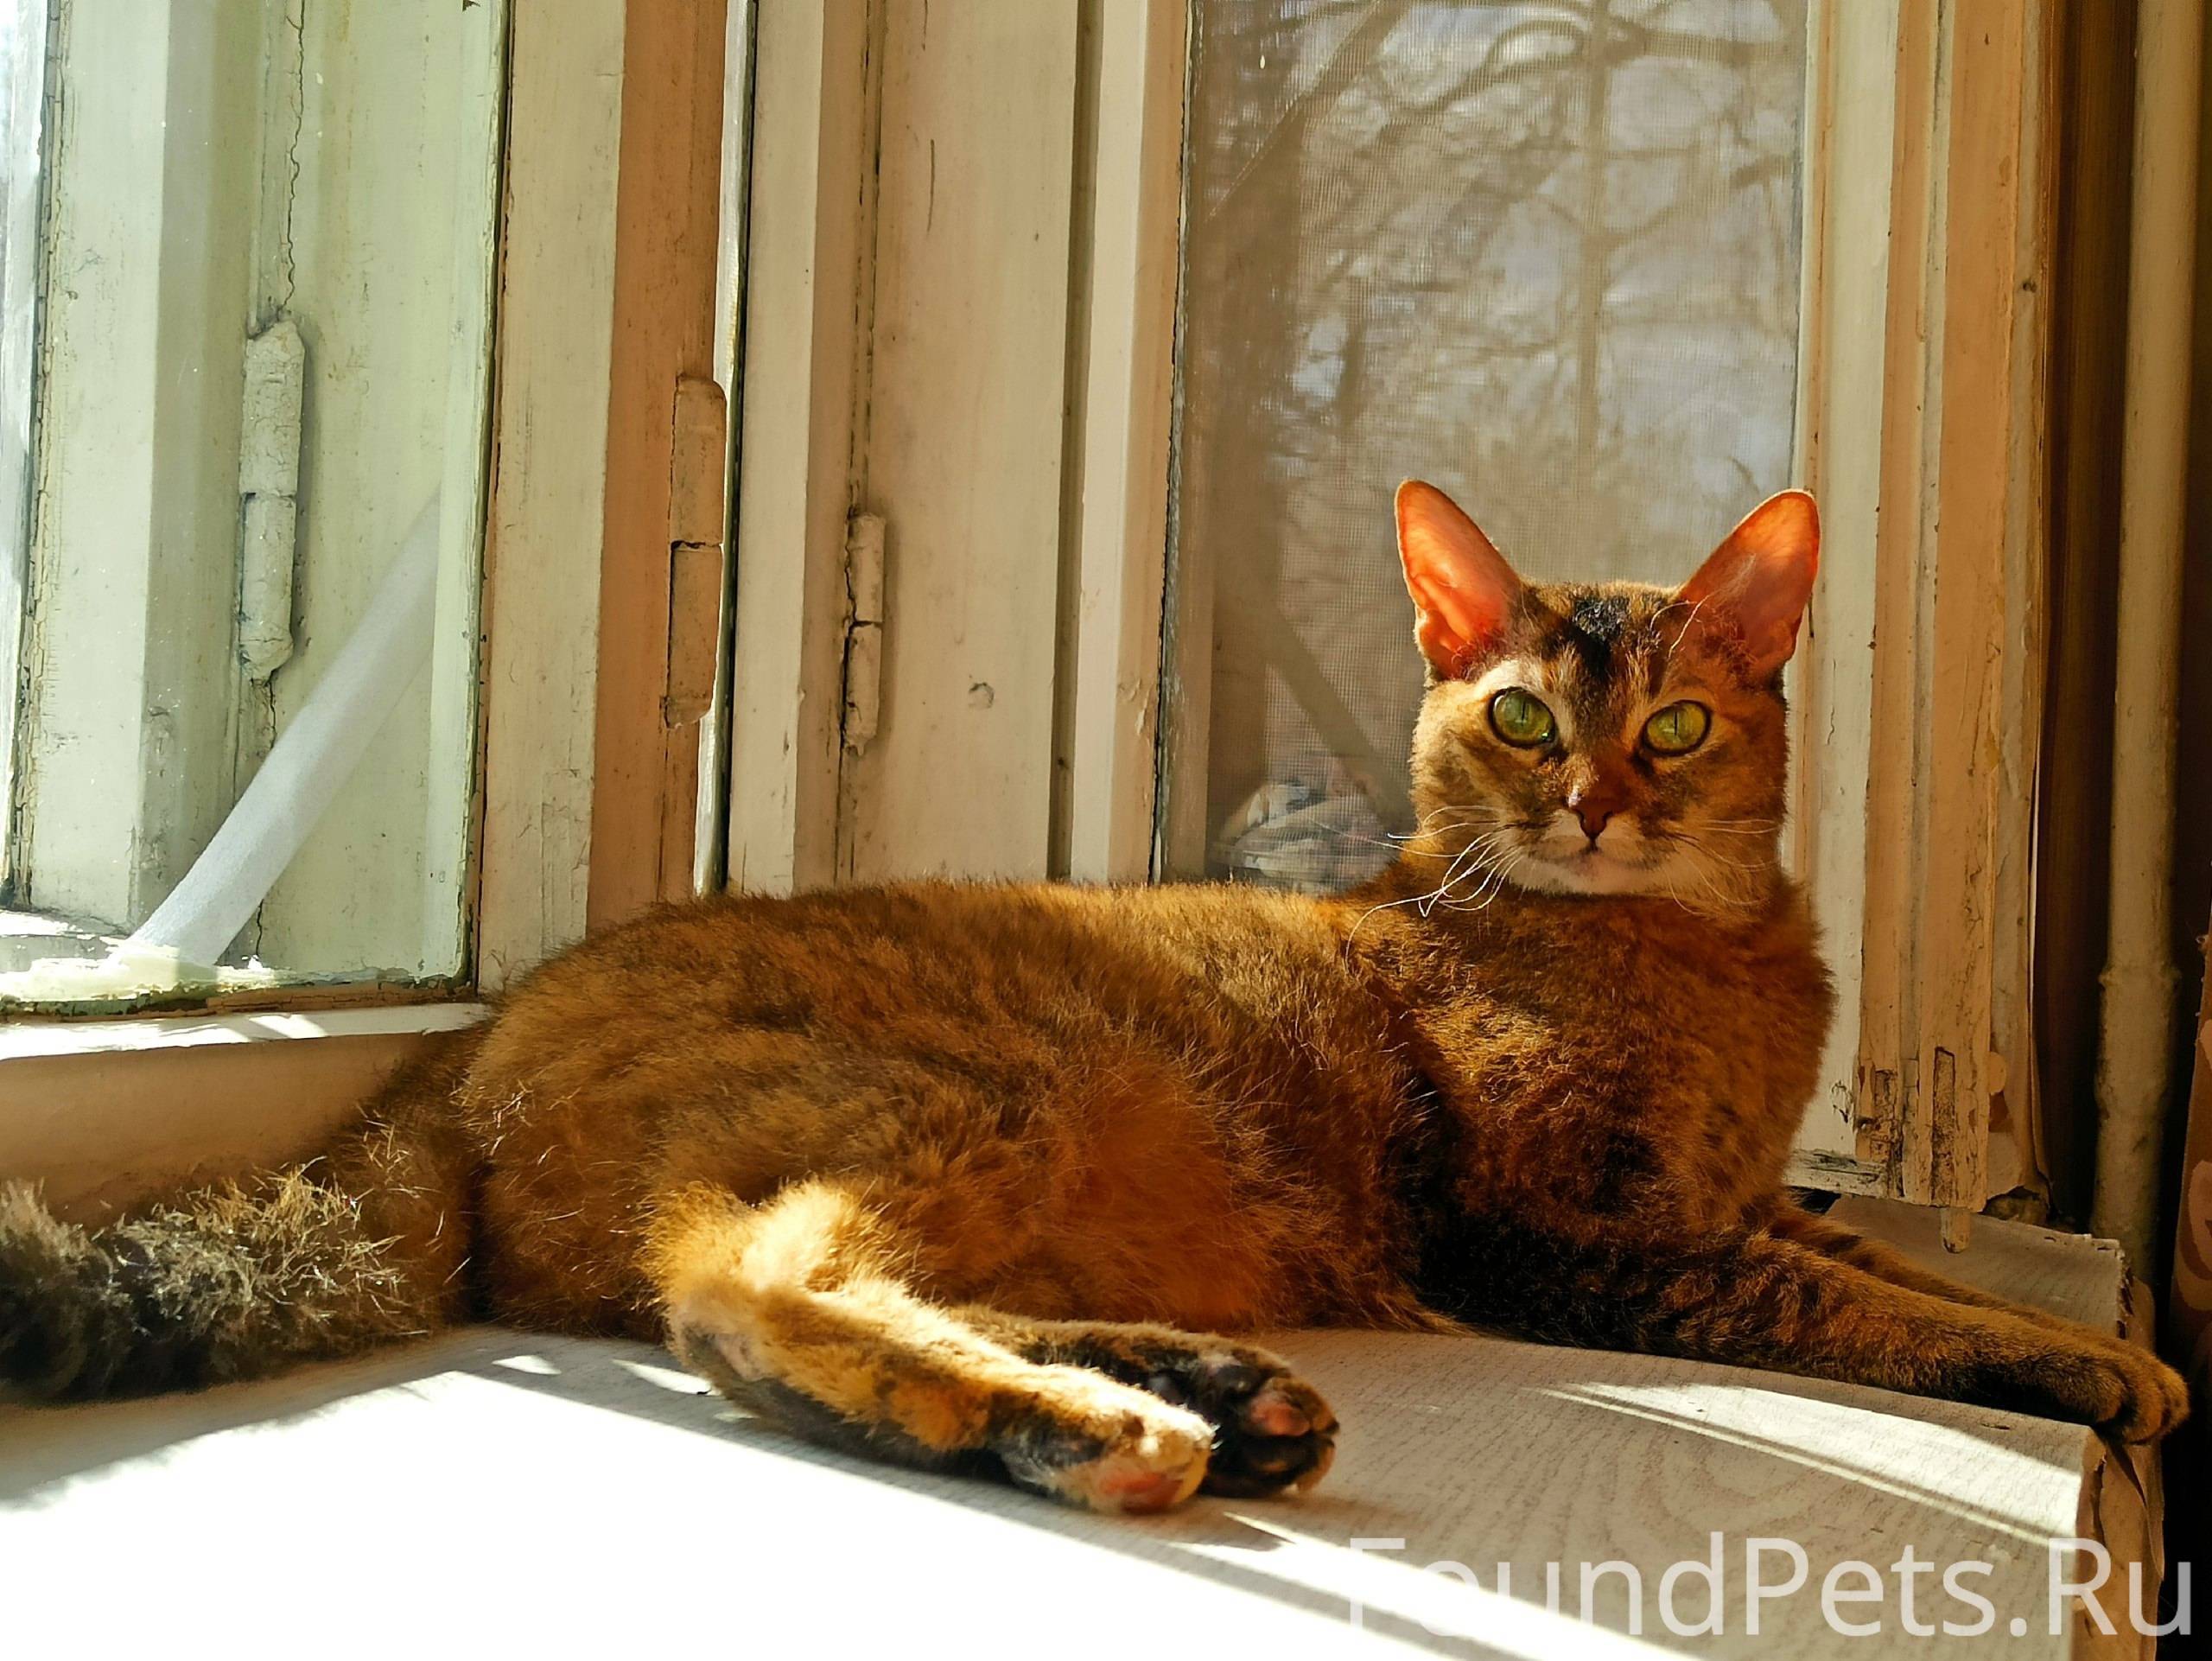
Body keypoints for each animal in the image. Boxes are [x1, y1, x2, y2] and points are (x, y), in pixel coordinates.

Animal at [0, 481, 2186, 1513]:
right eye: (1511, 714)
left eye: (1671, 723)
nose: (1585, 802)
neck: (1706, 959)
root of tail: (453, 1065)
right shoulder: (1577, 1233)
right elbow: (1869, 1307)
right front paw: (2095, 1369)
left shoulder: (1718, 1197)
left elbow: (1905, 1260)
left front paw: (2104, 1335)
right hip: (977, 1090)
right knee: (740, 1288)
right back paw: (1083, 1426)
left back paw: (1202, 1389)